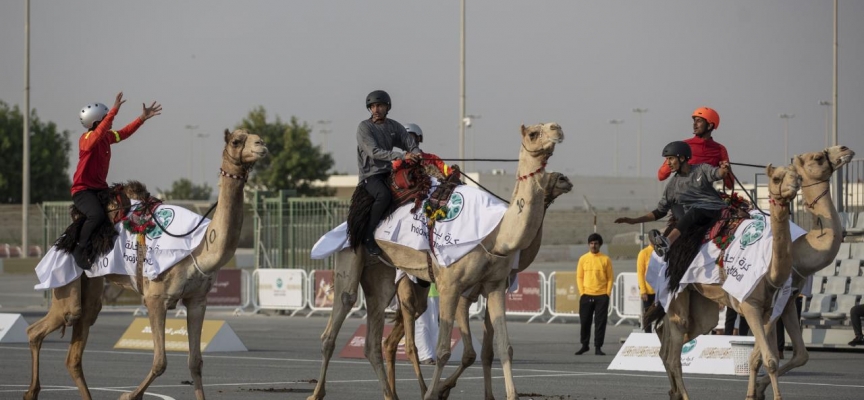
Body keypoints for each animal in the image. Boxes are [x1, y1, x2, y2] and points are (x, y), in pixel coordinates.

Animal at [25, 129, 264, 400]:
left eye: (256, 136)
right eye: (236, 141)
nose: (261, 146)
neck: (200, 244)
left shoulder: (197, 299)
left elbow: (195, 362)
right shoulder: (155, 297)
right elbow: (160, 362)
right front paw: (128, 395)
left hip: (91, 286)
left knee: (74, 352)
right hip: (68, 285)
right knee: (43, 328)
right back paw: (30, 392)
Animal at [384, 171, 572, 396]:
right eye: (543, 176)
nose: (564, 179)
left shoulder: (491, 288)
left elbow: (487, 352)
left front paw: (487, 395)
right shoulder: (464, 295)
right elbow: (469, 354)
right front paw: (443, 389)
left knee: (391, 340)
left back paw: (392, 393)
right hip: (405, 283)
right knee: (410, 341)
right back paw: (423, 390)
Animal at [648, 163, 804, 400]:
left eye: (797, 175)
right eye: (777, 178)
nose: (795, 185)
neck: (770, 272)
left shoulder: (770, 309)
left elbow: (765, 358)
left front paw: (754, 394)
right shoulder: (750, 305)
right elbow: (769, 360)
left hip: (699, 306)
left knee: (670, 341)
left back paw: (674, 391)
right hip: (677, 294)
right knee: (674, 350)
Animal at [744, 145, 852, 398]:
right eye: (818, 157)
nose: (845, 148)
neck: (801, 252)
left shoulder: (790, 298)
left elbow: (801, 354)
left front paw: (760, 389)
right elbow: (758, 353)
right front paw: (754, 392)